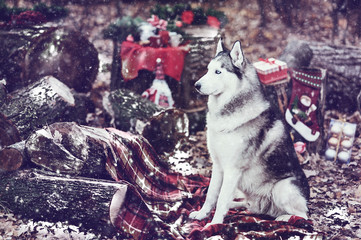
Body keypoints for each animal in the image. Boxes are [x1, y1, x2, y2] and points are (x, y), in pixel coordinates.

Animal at [188, 39, 310, 227]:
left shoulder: (232, 170)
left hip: (283, 188)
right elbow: (212, 194)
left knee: (304, 215)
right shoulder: (218, 165)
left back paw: (285, 218)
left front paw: (214, 224)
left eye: (218, 72)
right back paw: (236, 205)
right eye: (208, 69)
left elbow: (221, 198)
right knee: (247, 204)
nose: (196, 85)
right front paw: (203, 214)